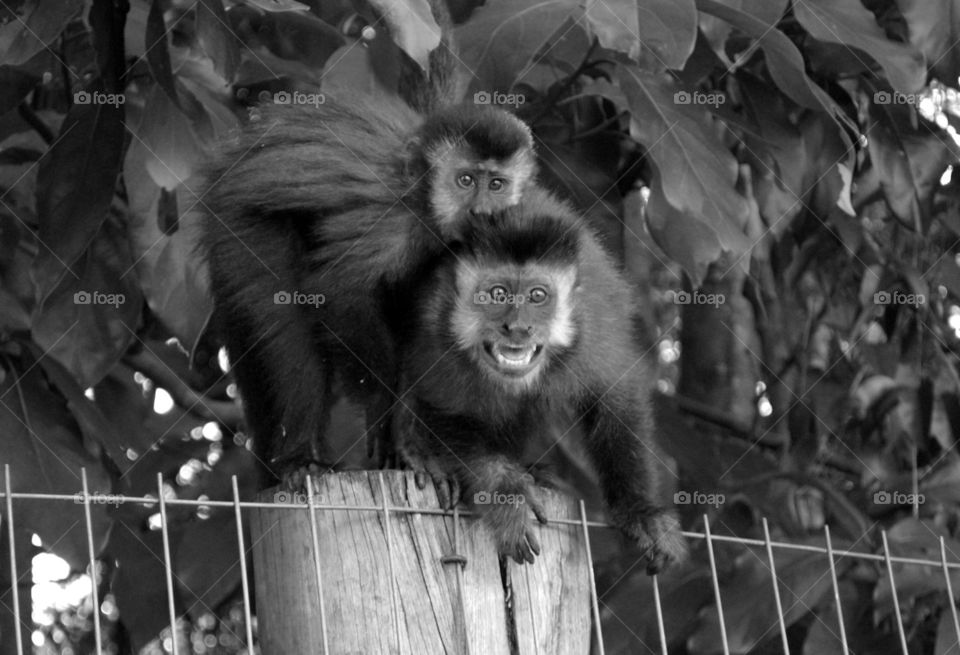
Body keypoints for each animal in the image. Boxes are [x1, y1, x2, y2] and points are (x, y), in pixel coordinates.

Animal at [392, 188, 688, 572]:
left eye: (537, 296)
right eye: (498, 294)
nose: (518, 327)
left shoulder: (595, 326)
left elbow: (615, 398)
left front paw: (639, 510)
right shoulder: (436, 322)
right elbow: (445, 410)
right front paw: (506, 495)